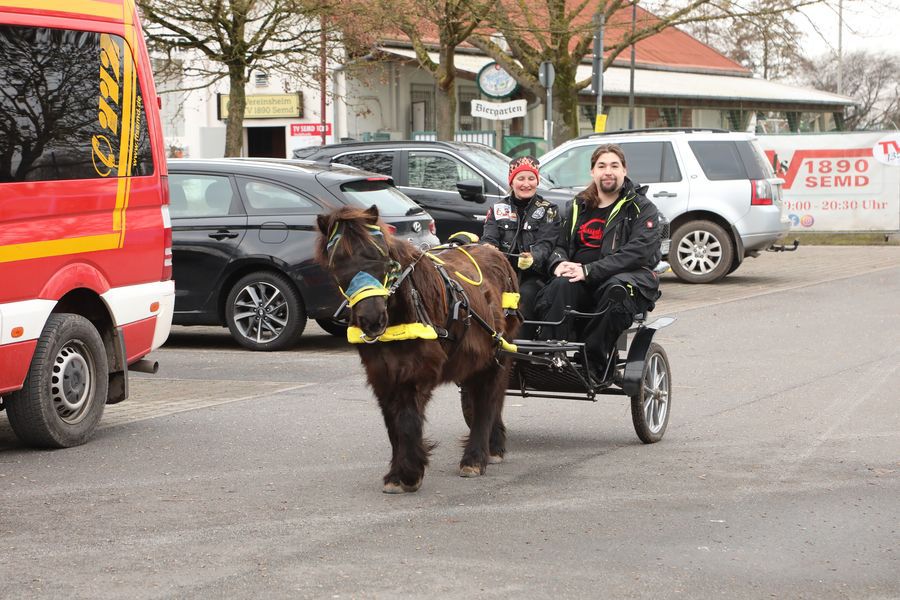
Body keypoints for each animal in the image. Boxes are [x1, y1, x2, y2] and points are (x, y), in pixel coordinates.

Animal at [315, 205, 521, 493]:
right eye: (337, 264)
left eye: (381, 256)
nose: (372, 319)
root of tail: (496, 253)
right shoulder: (381, 375)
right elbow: (392, 423)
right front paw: (397, 474)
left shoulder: (416, 372)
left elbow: (408, 420)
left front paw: (410, 473)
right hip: (476, 359)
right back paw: (492, 445)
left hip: (498, 353)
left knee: (488, 399)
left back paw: (475, 458)